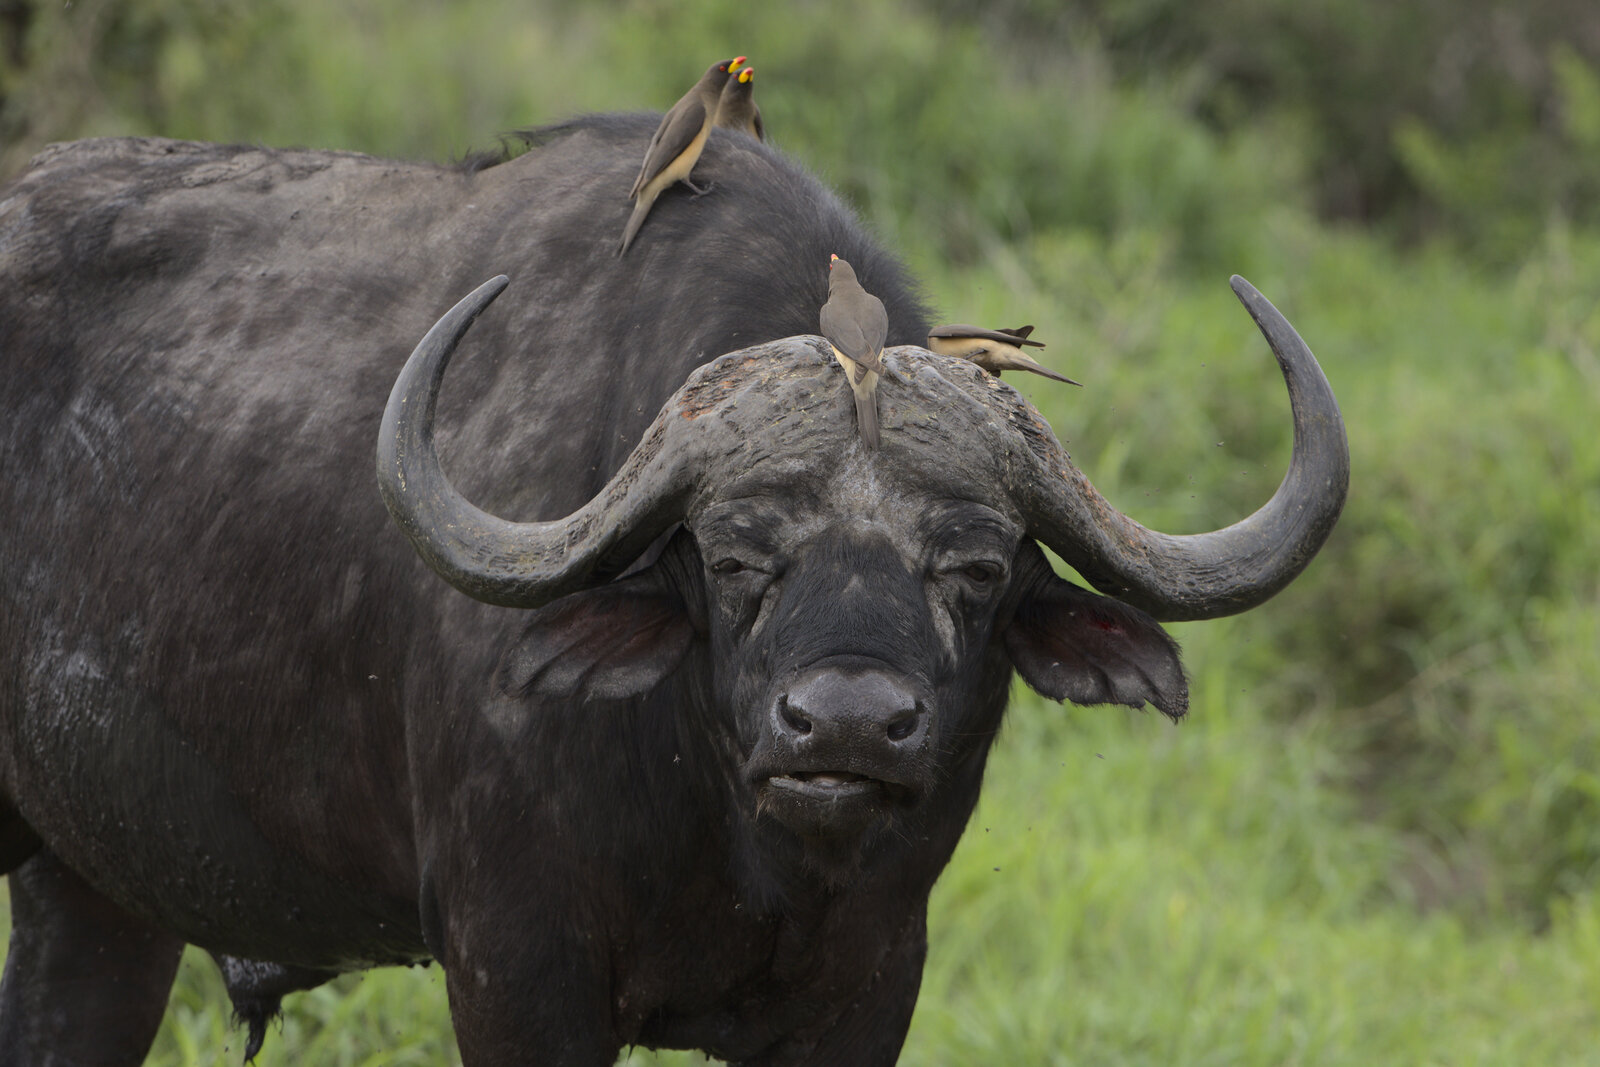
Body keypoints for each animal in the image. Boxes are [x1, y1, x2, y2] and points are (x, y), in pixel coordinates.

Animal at [0, 113, 1347, 1064]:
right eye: (736, 555)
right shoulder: (515, 970)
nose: (845, 725)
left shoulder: (870, 984)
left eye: (972, 567)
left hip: (95, 897)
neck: (739, 838)